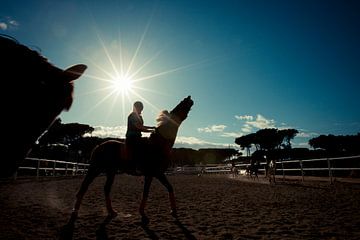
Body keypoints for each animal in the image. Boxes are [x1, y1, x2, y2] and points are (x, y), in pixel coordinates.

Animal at [71, 95, 194, 225]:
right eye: (182, 104)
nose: (189, 98)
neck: (158, 144)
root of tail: (99, 146)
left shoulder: (154, 174)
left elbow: (164, 189)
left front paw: (172, 211)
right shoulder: (155, 173)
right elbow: (150, 191)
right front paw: (145, 213)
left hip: (110, 172)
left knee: (106, 189)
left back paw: (111, 212)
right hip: (96, 169)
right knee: (85, 187)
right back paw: (75, 211)